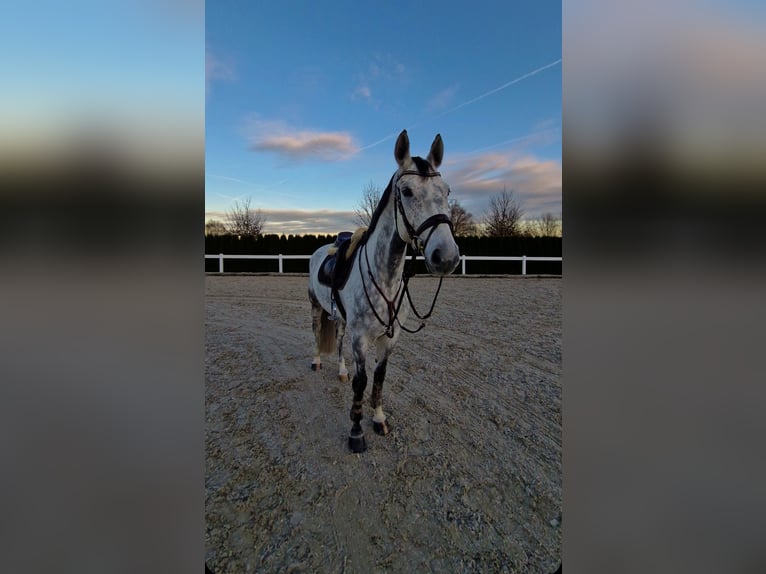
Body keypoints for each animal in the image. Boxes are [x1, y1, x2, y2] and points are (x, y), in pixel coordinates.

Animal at [308, 130, 462, 454]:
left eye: (447, 190)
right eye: (406, 191)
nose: (446, 256)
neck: (385, 277)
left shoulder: (390, 338)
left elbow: (379, 377)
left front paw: (378, 419)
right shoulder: (361, 338)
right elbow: (362, 381)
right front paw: (356, 433)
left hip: (341, 319)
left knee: (337, 340)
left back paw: (340, 371)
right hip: (316, 306)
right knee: (316, 332)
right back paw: (316, 361)